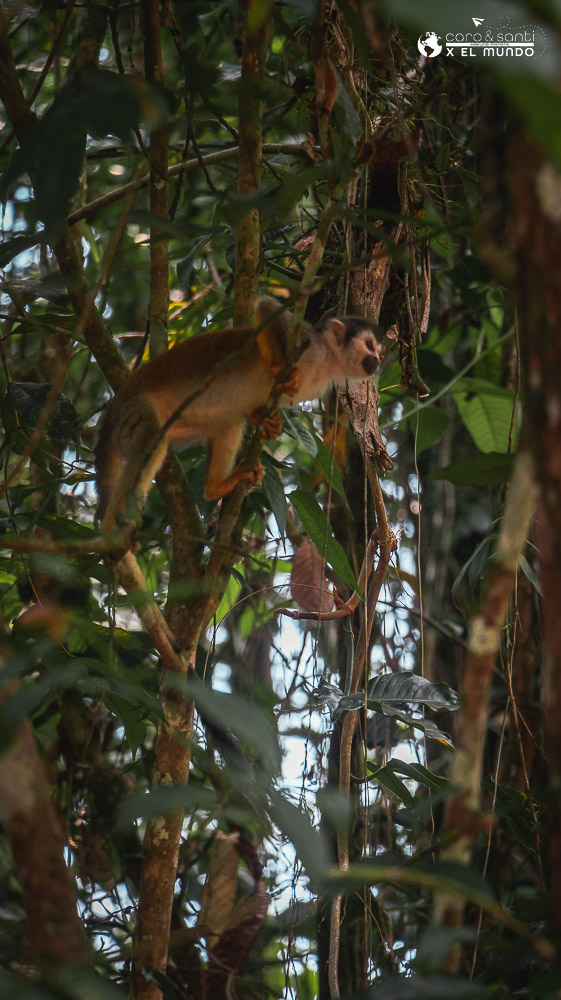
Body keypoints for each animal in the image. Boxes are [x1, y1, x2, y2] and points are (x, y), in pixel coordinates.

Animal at [96, 294, 382, 536]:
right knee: (151, 441)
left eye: (379, 350)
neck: (327, 364)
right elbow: (267, 308)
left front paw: (268, 423)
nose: (378, 361)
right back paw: (113, 530)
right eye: (369, 345)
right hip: (134, 413)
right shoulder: (309, 344)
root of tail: (114, 405)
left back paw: (217, 487)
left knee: (227, 422)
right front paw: (279, 367)